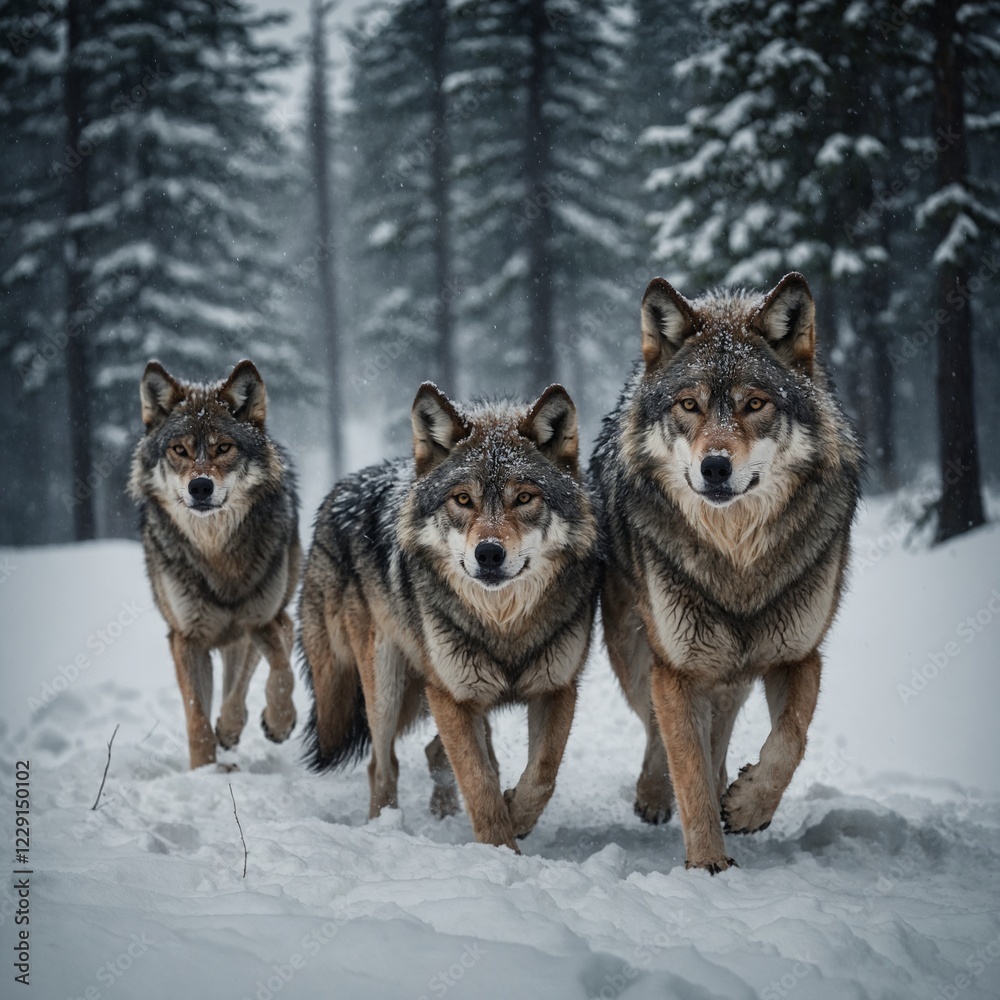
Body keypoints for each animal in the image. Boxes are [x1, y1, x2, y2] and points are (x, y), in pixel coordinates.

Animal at [128, 359, 301, 770]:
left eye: (223, 447)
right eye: (179, 449)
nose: (201, 487)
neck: (216, 553)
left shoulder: (262, 620)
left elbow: (280, 672)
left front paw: (278, 722)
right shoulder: (186, 637)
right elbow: (196, 714)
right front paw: (204, 769)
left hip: (261, 619)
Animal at [299, 382, 600, 850]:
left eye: (524, 498)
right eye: (463, 499)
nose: (489, 553)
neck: (503, 624)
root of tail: (335, 494)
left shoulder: (556, 689)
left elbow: (541, 776)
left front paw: (516, 816)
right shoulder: (451, 696)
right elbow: (478, 783)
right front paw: (500, 849)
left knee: (433, 752)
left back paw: (443, 811)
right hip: (387, 687)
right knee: (382, 765)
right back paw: (385, 828)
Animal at [591, 273, 862, 872]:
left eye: (754, 403)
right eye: (690, 405)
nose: (714, 467)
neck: (737, 559)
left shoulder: (799, 655)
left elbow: (791, 741)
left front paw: (748, 807)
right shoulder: (678, 668)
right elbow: (687, 766)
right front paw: (708, 864)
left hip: (730, 668)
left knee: (720, 729)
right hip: (639, 651)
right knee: (657, 727)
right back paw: (653, 794)